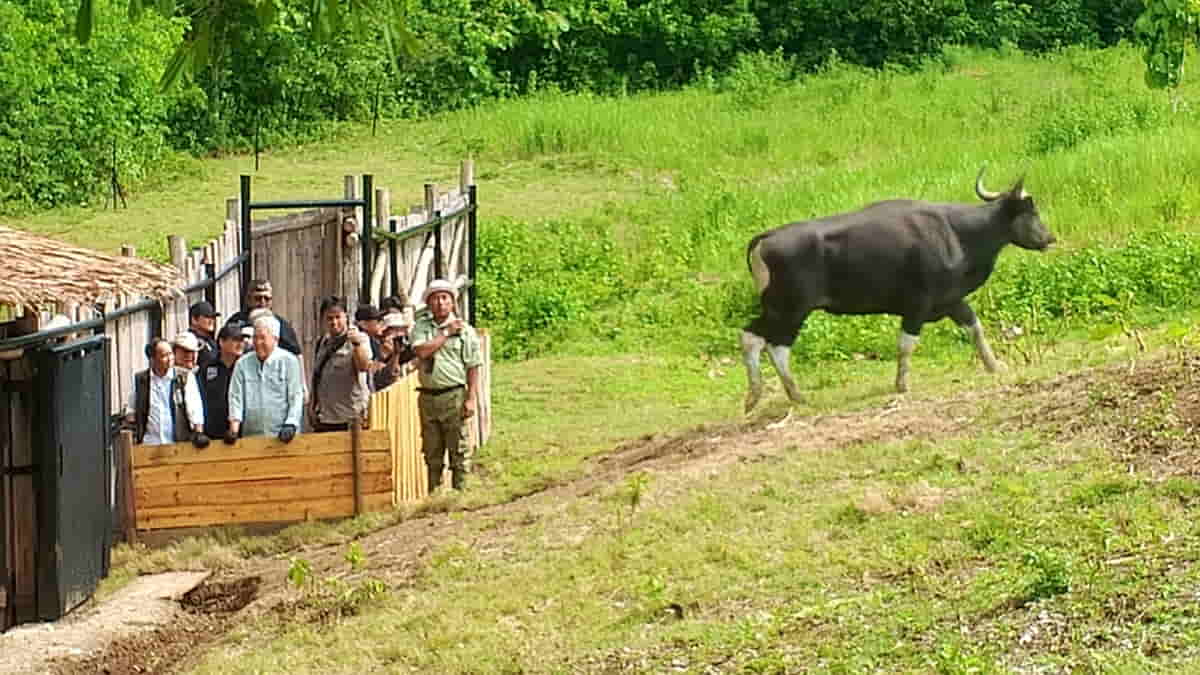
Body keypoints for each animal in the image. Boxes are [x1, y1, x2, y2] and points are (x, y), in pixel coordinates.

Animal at [739, 165, 1060, 413]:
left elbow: (975, 328)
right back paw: (788, 395)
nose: (1049, 238)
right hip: (790, 309)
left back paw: (762, 396)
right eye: (1032, 211)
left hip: (778, 309)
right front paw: (901, 384)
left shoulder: (951, 300)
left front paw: (995, 366)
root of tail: (764, 239)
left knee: (755, 338)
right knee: (772, 344)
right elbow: (907, 344)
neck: (957, 233)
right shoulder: (918, 305)